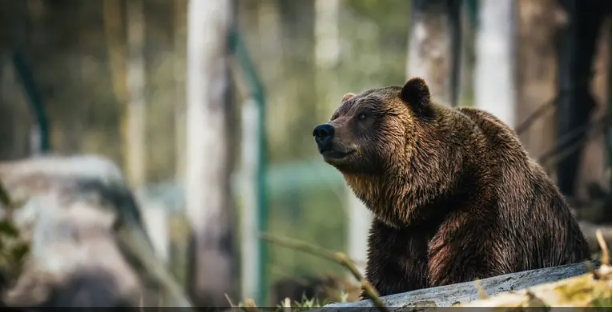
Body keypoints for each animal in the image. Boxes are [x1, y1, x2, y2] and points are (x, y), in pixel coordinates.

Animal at [314, 77, 592, 298]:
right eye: (337, 115)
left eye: (363, 115)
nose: (323, 130)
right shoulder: (398, 234)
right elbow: (387, 279)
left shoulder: (486, 209)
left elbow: (471, 268)